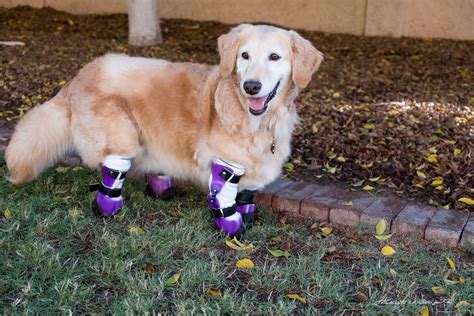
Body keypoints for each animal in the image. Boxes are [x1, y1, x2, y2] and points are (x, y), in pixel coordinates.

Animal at [6, 24, 322, 237]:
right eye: (244, 55)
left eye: (274, 57)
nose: (251, 87)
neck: (259, 120)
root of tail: (78, 75)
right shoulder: (226, 162)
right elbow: (224, 196)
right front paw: (231, 226)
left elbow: (247, 195)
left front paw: (248, 216)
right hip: (122, 135)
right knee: (113, 171)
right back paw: (108, 209)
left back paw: (161, 188)